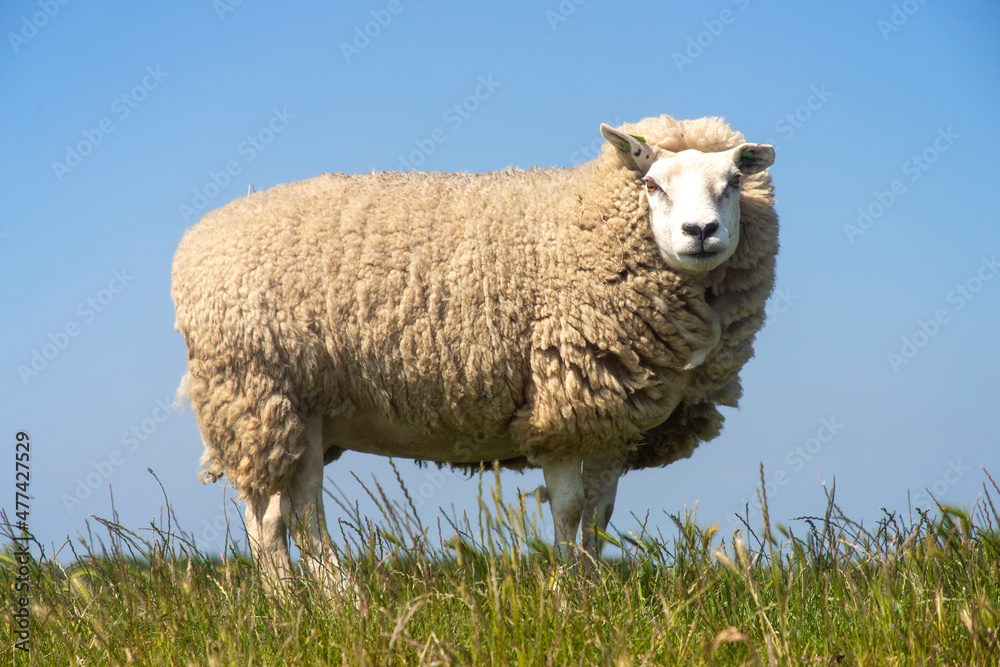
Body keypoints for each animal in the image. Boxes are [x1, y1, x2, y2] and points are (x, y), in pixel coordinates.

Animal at [171, 114, 778, 585]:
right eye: (651, 184)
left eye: (731, 181)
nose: (700, 232)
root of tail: (199, 236)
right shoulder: (563, 402)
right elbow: (568, 509)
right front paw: (568, 597)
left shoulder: (611, 417)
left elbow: (599, 514)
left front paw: (591, 586)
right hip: (257, 391)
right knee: (280, 518)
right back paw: (316, 602)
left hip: (302, 411)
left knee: (284, 512)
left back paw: (311, 600)